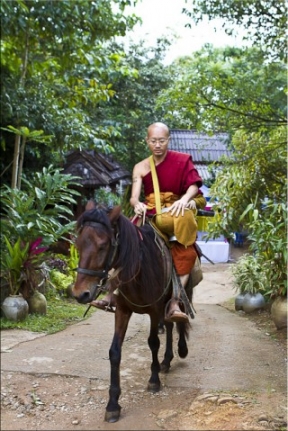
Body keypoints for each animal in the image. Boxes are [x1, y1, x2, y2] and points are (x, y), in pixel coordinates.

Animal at [72, 202, 194, 422]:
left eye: (102, 246)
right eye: (78, 245)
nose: (80, 293)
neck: (139, 268)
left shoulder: (154, 310)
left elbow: (153, 342)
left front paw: (154, 380)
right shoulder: (122, 310)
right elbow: (114, 352)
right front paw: (113, 403)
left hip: (181, 293)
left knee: (179, 319)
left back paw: (181, 350)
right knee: (169, 325)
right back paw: (166, 360)